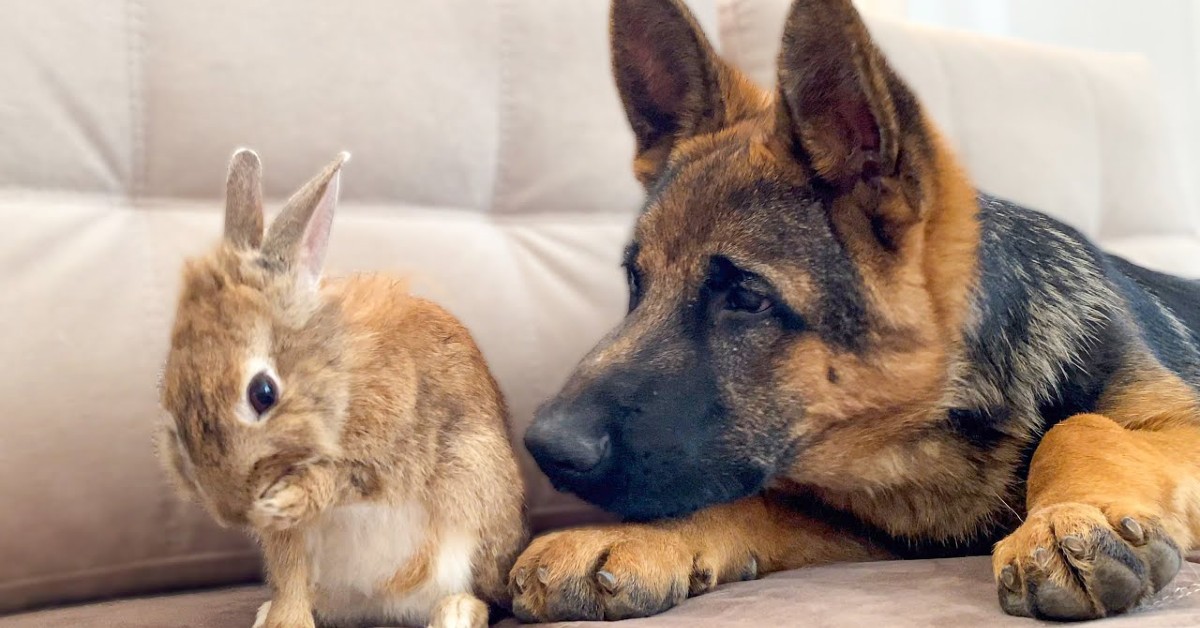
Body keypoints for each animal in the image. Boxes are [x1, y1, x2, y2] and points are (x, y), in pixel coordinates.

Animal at [157, 151, 528, 628]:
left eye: (263, 392)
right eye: (171, 388)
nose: (231, 510)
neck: (337, 376)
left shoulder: (390, 452)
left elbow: (345, 478)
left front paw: (291, 497)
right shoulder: (290, 543)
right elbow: (290, 578)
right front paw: (283, 621)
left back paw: (456, 613)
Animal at [506, 0, 1200, 624]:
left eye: (747, 297)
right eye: (636, 283)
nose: (544, 448)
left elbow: (1079, 426)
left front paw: (1068, 516)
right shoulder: (869, 528)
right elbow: (753, 500)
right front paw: (638, 535)